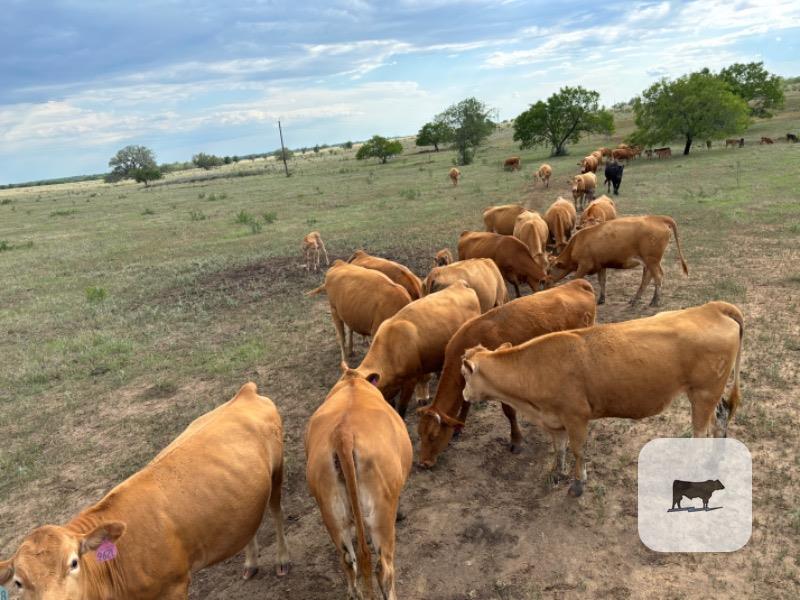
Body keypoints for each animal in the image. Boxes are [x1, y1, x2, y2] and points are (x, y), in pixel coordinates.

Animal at [0, 382, 290, 599]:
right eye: (18, 582)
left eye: (73, 563)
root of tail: (245, 393)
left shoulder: (175, 587)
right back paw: (251, 563)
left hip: (277, 471)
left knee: (276, 510)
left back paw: (282, 560)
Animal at [306, 365, 412, 600]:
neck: (352, 382)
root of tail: (343, 434)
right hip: (382, 514)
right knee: (384, 569)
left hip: (333, 516)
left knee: (348, 561)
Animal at [417, 279, 596, 468]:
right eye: (419, 434)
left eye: (433, 436)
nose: (423, 463)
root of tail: (577, 283)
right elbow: (465, 402)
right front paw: (459, 427)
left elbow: (509, 412)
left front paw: (516, 440)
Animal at [461, 301, 744, 497]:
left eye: (464, 375)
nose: (464, 394)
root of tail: (712, 307)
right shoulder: (553, 420)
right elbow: (559, 448)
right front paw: (556, 473)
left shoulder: (576, 417)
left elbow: (578, 450)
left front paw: (578, 483)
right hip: (709, 393)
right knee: (720, 417)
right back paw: (717, 455)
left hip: (703, 393)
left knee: (701, 432)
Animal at [549, 215, 689, 306]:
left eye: (549, 269)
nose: (544, 281)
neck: (579, 241)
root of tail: (657, 218)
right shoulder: (601, 265)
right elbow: (602, 281)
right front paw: (601, 299)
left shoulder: (584, 265)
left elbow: (576, 279)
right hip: (648, 262)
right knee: (647, 278)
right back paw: (635, 299)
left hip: (652, 261)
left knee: (658, 277)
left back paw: (655, 301)